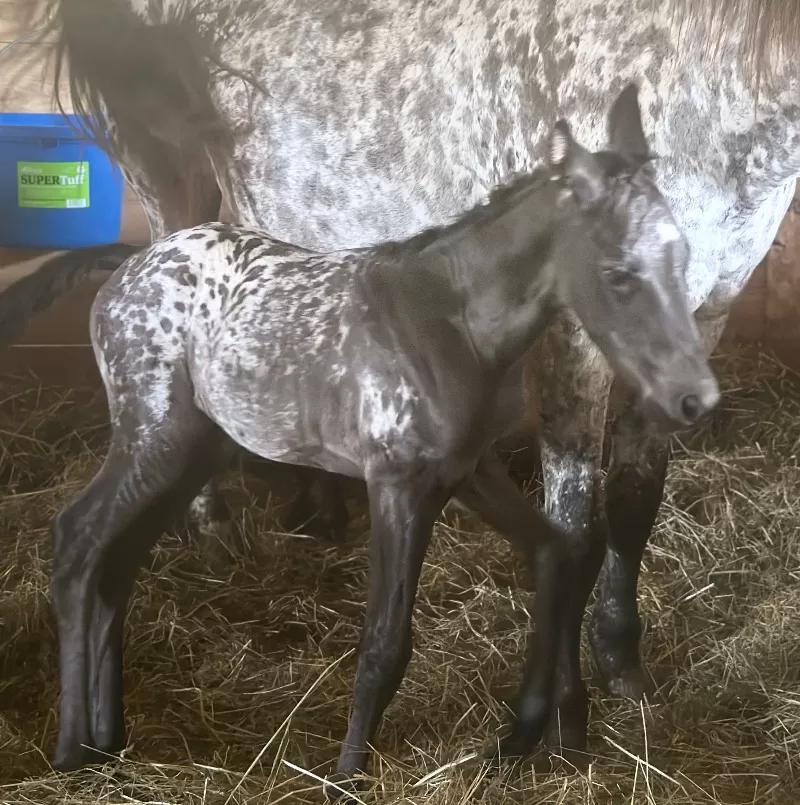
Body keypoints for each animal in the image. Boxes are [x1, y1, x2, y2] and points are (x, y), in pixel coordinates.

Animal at [32, 0, 800, 768]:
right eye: (615, 274)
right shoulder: (579, 343)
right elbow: (577, 525)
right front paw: (565, 716)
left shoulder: (696, 325)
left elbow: (635, 505)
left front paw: (623, 668)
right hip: (167, 177)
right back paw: (212, 533)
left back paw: (316, 507)